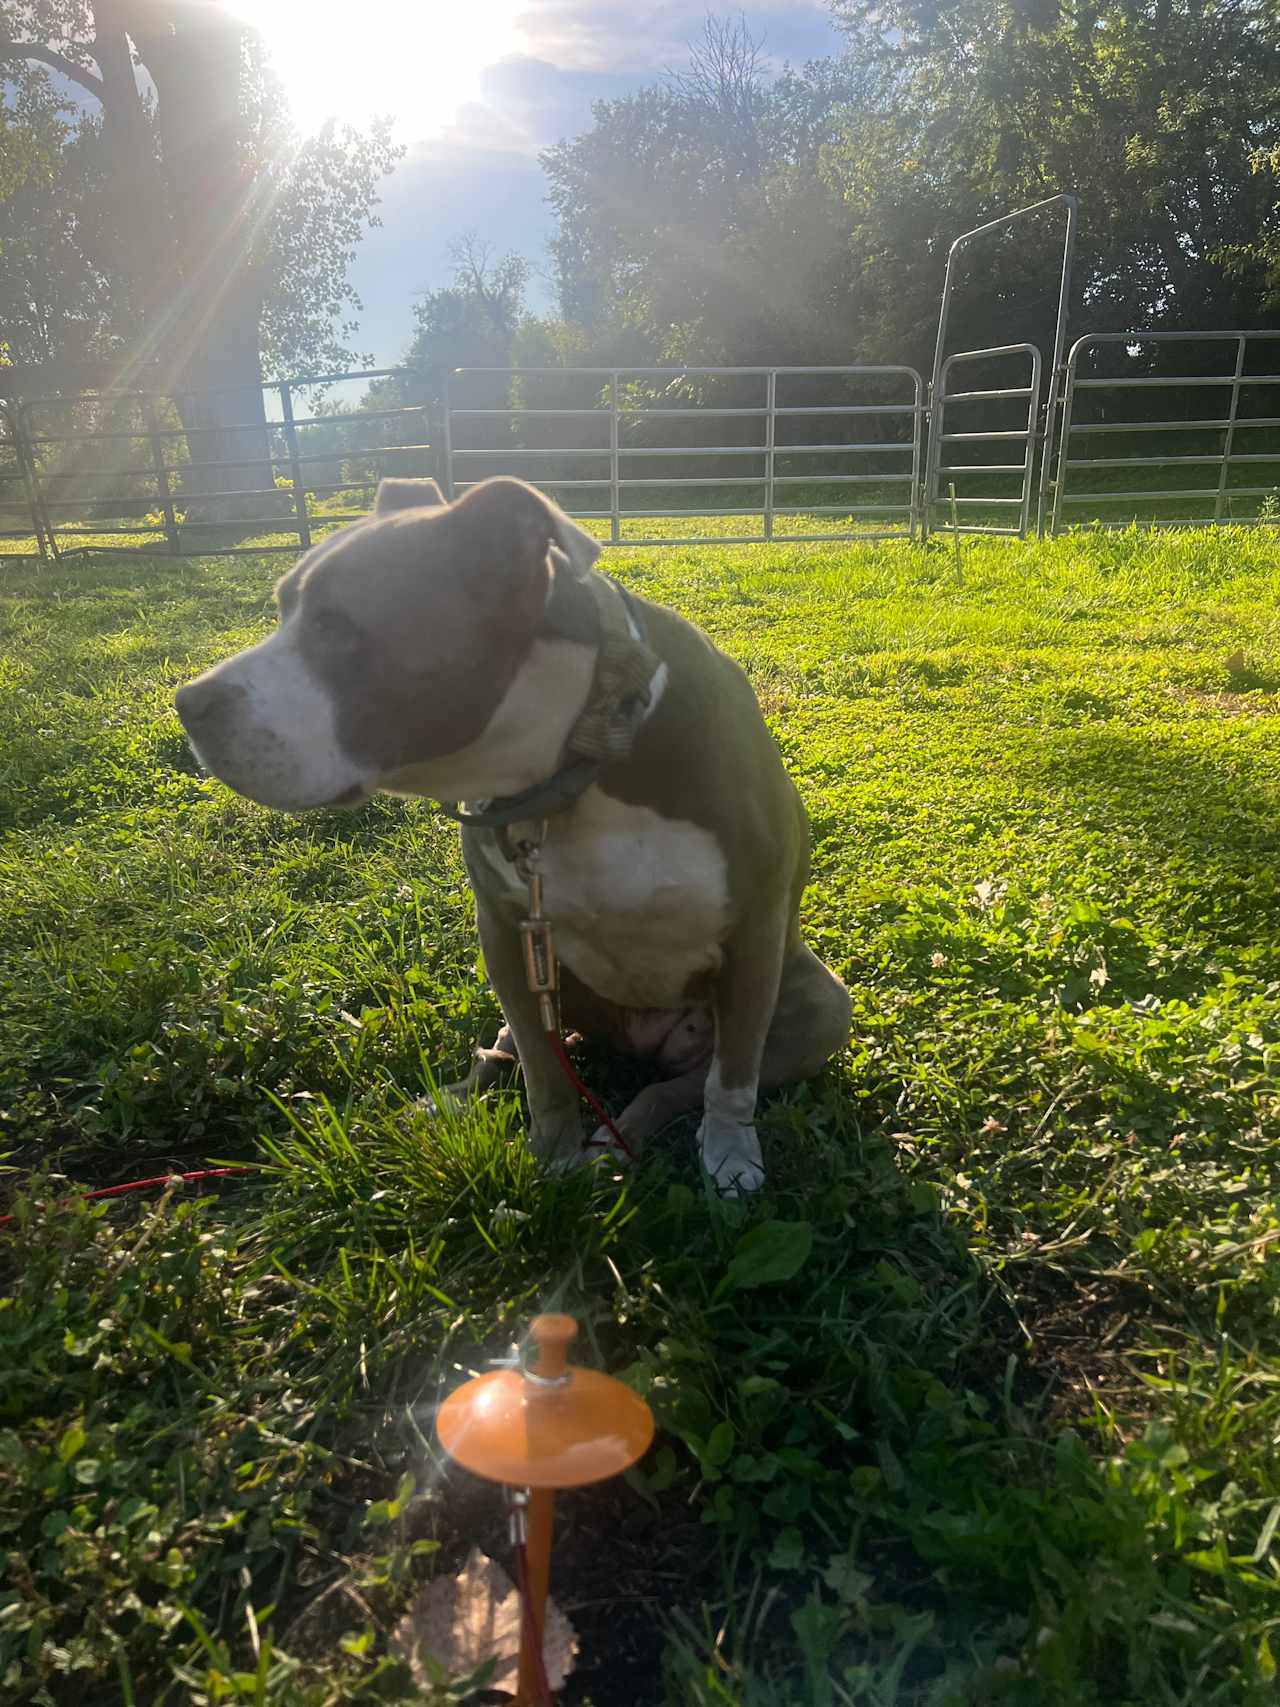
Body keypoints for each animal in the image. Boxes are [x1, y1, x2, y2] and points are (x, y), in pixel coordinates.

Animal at [178, 474, 853, 1194]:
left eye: (335, 626)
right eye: (282, 608)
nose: (188, 701)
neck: (573, 761)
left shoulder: (754, 933)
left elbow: (731, 1080)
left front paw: (729, 1155)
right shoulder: (505, 932)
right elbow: (543, 1071)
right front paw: (552, 1155)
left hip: (819, 1003)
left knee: (680, 1085)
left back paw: (624, 1138)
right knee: (509, 1048)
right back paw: (452, 1102)